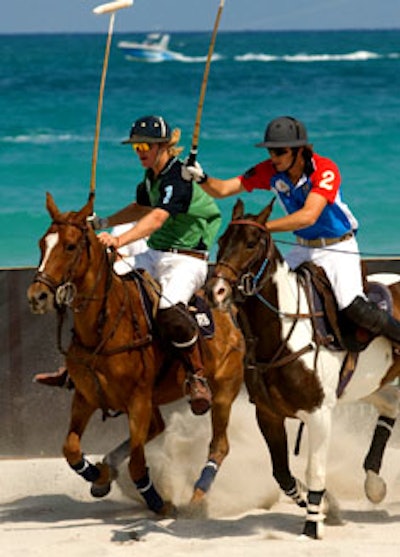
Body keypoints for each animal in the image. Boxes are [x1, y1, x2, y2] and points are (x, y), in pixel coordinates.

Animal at [27, 193, 244, 516]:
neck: (103, 326)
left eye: (70, 246)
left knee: (219, 444)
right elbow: (71, 449)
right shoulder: (86, 396)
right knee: (158, 427)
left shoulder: (138, 399)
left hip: (223, 391)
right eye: (42, 243)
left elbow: (139, 464)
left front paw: (160, 503)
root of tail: (230, 313)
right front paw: (99, 476)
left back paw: (197, 497)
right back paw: (109, 469)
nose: (37, 296)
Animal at [206, 199, 400, 540]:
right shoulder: (268, 414)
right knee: (390, 403)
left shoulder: (319, 413)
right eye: (221, 241)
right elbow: (281, 473)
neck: (283, 333)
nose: (215, 291)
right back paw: (374, 486)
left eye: (252, 243)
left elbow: (314, 470)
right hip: (365, 384)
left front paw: (312, 525)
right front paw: (326, 508)